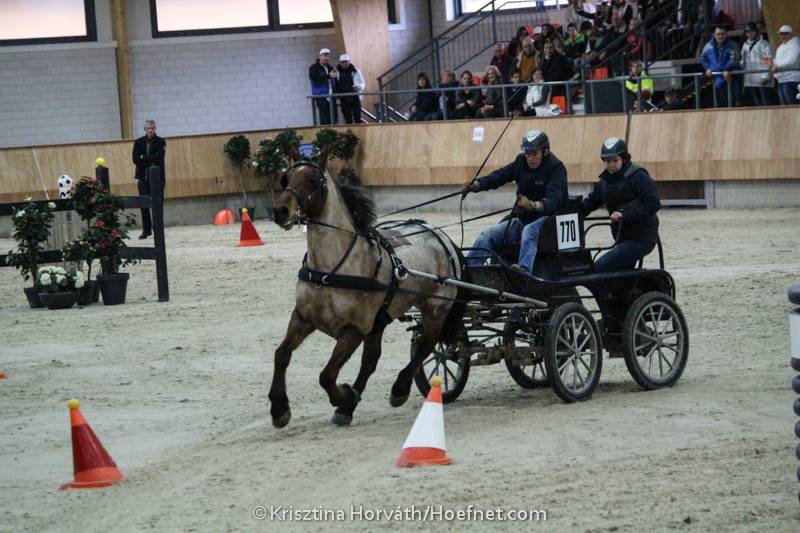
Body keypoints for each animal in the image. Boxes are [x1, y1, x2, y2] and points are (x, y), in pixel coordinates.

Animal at [270, 147, 462, 428]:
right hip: (379, 321)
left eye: (313, 180)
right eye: (286, 178)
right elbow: (281, 354)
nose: (280, 211)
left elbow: (327, 375)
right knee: (372, 360)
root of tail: (440, 235)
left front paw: (344, 395)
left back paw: (398, 388)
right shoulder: (303, 318)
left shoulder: (353, 330)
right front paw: (279, 408)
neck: (331, 271)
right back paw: (350, 406)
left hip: (436, 308)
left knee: (427, 345)